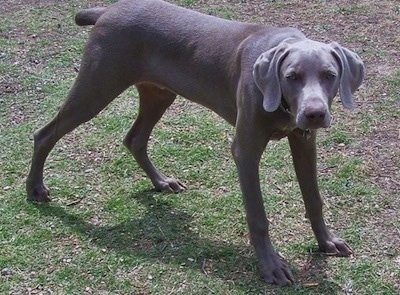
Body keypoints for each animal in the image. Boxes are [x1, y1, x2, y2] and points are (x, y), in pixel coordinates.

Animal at [25, 0, 364, 286]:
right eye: (292, 76)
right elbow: (258, 216)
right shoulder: (245, 150)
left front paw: (327, 242)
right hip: (97, 86)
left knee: (135, 138)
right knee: (45, 134)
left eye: (329, 75)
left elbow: (314, 198)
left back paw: (162, 182)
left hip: (159, 92)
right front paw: (271, 266)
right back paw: (36, 190)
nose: (314, 114)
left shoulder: (304, 142)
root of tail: (107, 11)